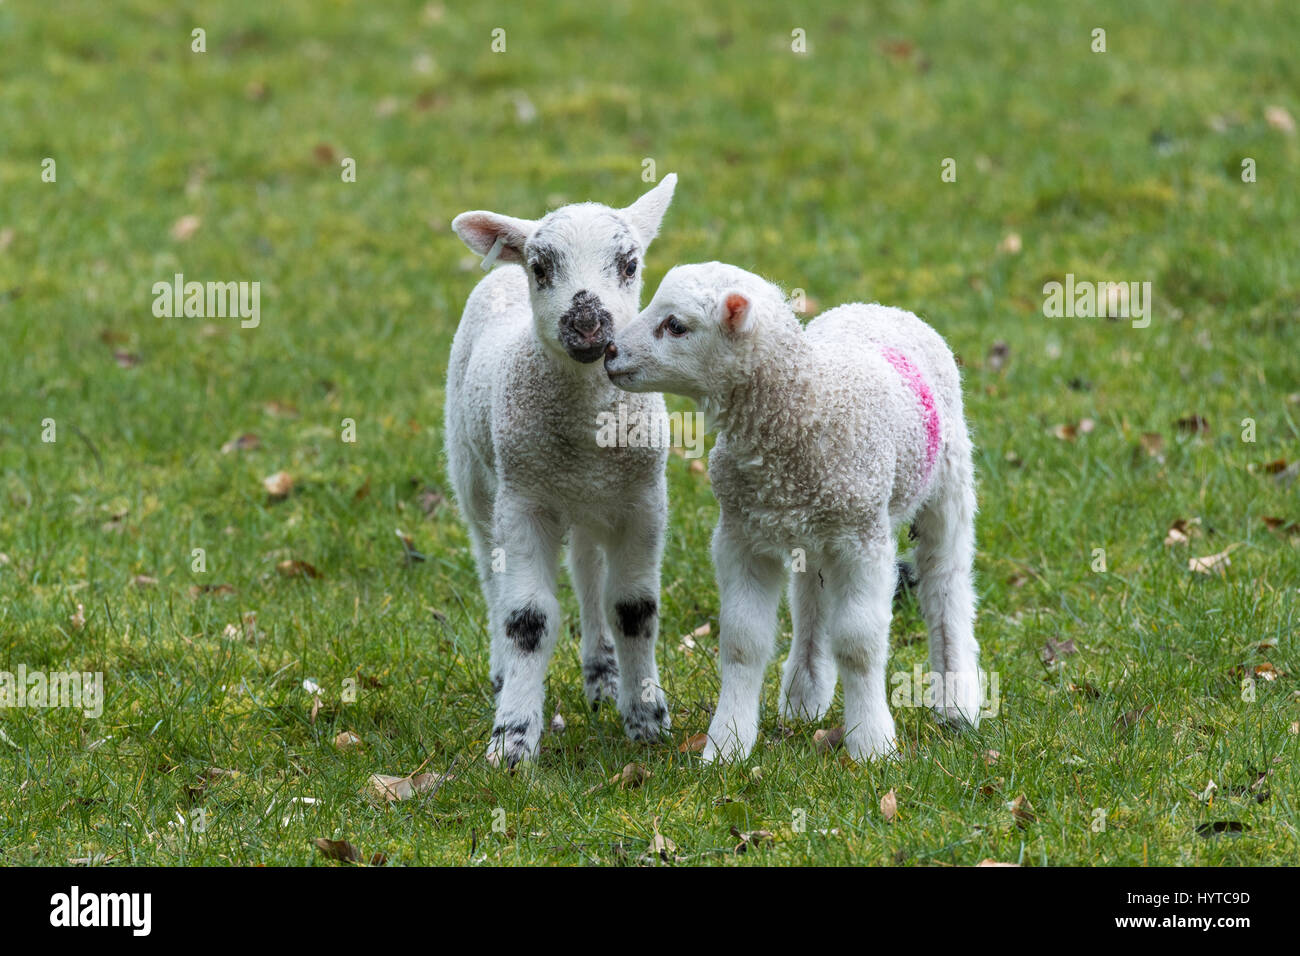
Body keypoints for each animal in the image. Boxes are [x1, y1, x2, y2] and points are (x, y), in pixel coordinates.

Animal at [444, 174, 676, 770]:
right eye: (541, 268)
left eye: (630, 264)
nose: (589, 325)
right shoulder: (525, 501)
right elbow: (528, 619)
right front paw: (512, 741)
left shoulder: (643, 502)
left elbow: (633, 608)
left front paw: (647, 720)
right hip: (475, 476)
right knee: (490, 567)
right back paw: (503, 673)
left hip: (593, 503)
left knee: (589, 571)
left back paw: (602, 675)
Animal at [603, 260, 977, 764]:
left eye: (676, 325)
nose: (608, 351)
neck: (805, 405)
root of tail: (878, 306)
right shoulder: (741, 535)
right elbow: (742, 641)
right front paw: (727, 745)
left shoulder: (864, 539)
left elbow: (859, 643)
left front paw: (873, 745)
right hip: (810, 527)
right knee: (811, 601)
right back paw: (804, 696)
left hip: (947, 487)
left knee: (945, 584)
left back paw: (957, 702)